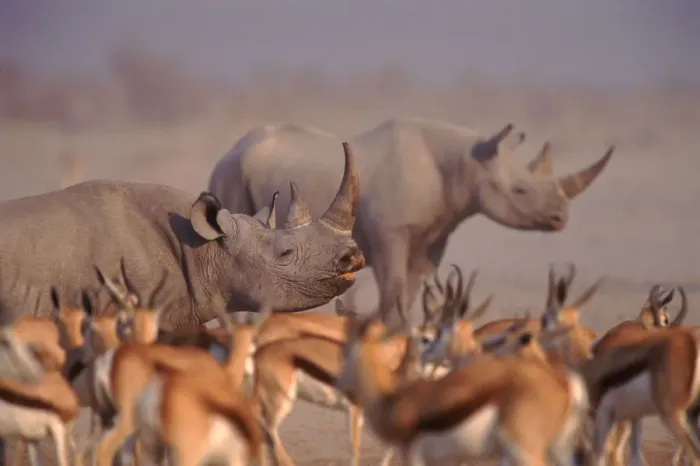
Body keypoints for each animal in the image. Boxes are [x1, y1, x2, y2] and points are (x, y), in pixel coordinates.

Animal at [208, 117, 613, 324]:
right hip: (229, 172)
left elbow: (413, 288)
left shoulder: (434, 235)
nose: (560, 218)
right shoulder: (391, 234)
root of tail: (231, 148)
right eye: (521, 191)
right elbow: (394, 288)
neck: (466, 163)